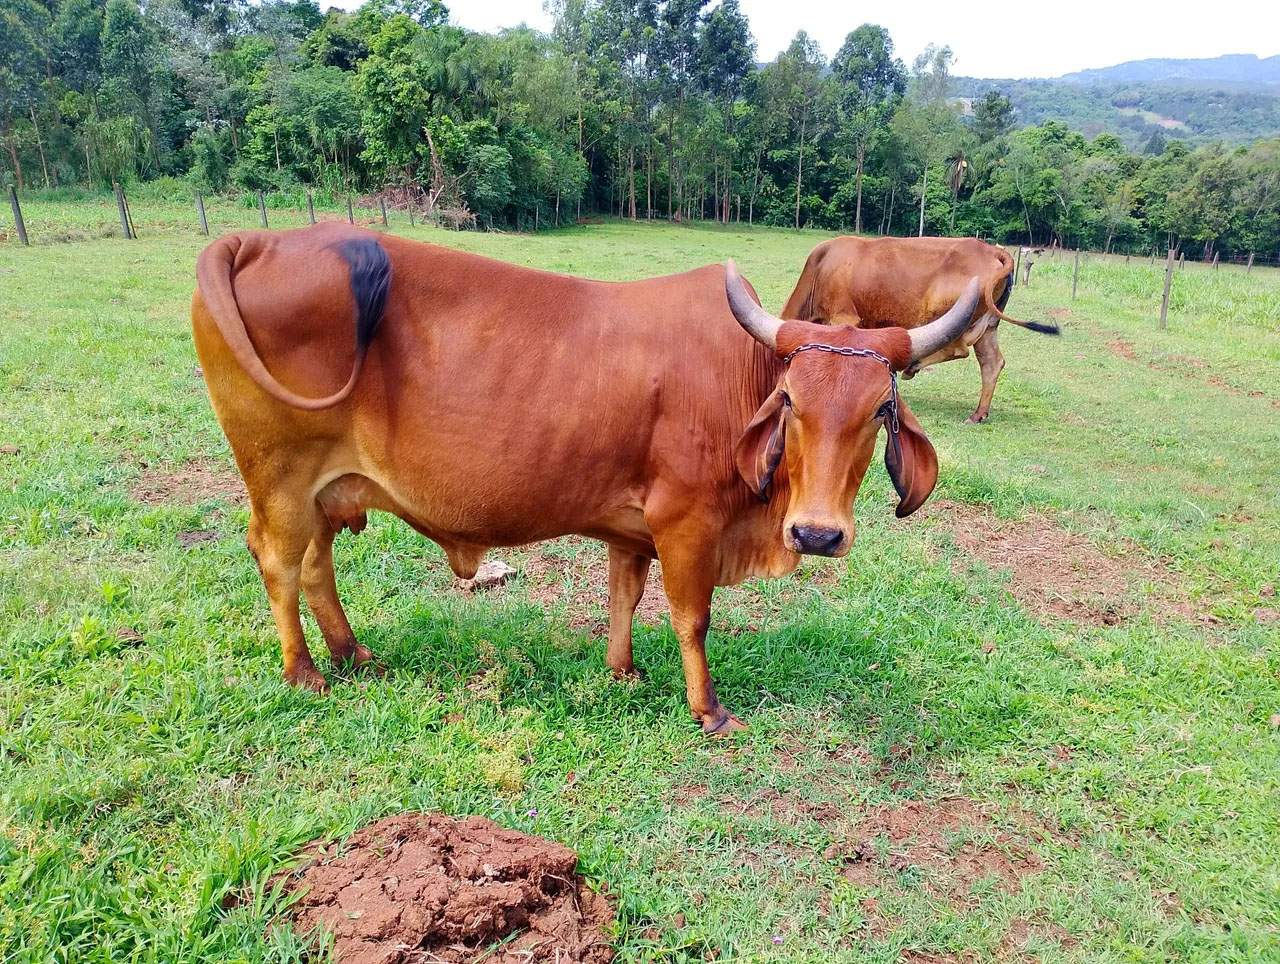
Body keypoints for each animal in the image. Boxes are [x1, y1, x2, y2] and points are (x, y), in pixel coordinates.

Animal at [192, 224, 979, 733]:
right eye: (791, 402)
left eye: (880, 410)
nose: (816, 534)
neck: (741, 367)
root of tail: (254, 241)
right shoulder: (686, 523)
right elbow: (692, 618)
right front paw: (707, 710)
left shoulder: (631, 530)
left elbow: (624, 597)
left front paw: (622, 669)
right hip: (281, 479)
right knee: (279, 561)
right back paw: (305, 671)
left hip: (325, 491)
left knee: (316, 564)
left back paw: (352, 652)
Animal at [780, 236, 1059, 424]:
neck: (820, 269)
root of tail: (993, 251)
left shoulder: (844, 317)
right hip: (989, 325)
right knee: (992, 362)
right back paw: (978, 414)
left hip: (952, 315)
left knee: (958, 349)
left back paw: (912, 366)